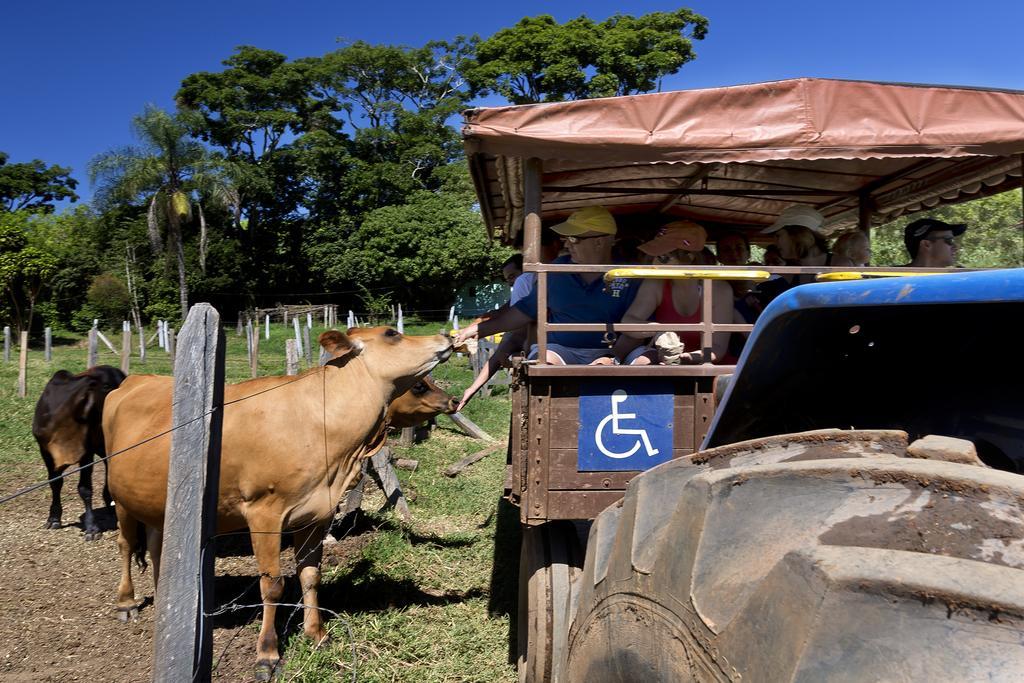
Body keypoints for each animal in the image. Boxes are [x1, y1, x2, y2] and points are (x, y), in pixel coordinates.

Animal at [33, 366, 126, 540]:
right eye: (106, 386)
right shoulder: (45, 452)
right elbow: (55, 483)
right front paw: (54, 518)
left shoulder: (86, 453)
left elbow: (85, 488)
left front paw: (91, 527)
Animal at [103, 327, 452, 679]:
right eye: (391, 333)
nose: (446, 336)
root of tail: (134, 380)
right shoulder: (264, 513)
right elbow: (272, 585)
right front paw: (268, 654)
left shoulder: (316, 513)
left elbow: (310, 575)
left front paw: (317, 633)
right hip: (119, 497)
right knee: (125, 543)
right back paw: (127, 602)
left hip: (155, 502)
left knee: (156, 545)